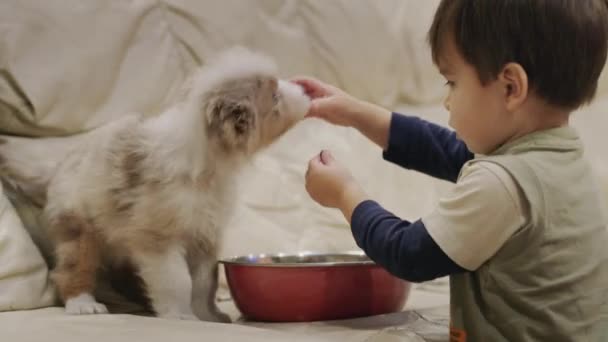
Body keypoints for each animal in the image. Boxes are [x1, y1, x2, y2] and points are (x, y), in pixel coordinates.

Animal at [0, 47, 312, 320]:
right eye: (275, 96)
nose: (306, 90)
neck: (208, 161)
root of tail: (59, 165)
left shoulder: (204, 235)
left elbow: (204, 283)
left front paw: (208, 316)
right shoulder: (159, 238)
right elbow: (177, 280)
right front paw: (180, 316)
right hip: (80, 229)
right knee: (71, 269)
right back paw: (83, 304)